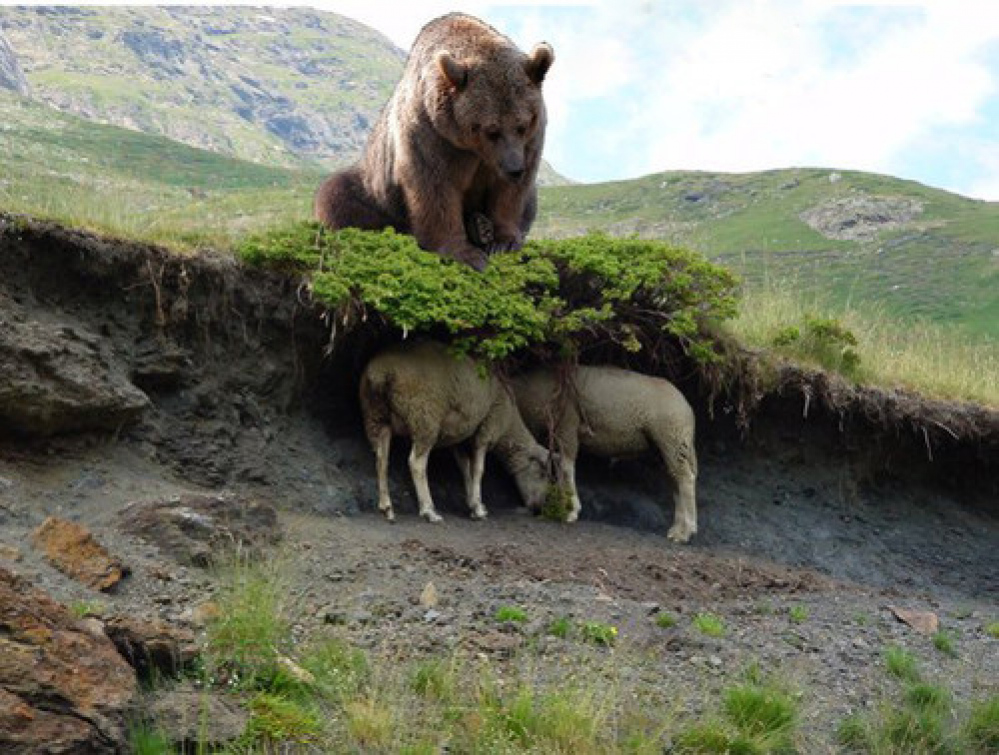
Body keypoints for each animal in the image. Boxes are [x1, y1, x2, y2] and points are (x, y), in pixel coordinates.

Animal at [314, 12, 556, 272]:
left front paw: (504, 241)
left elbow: (512, 193)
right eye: (491, 130)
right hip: (376, 189)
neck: (470, 145)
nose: (514, 168)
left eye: (522, 125)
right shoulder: (431, 133)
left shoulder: (530, 139)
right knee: (337, 195)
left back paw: (480, 227)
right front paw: (466, 254)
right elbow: (434, 187)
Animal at [360, 344, 552, 524]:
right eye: (542, 473)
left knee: (381, 460)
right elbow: (478, 469)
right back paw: (429, 511)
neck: (508, 425)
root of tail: (381, 372)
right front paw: (479, 508)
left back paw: (387, 508)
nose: (539, 508)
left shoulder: (459, 437)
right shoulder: (487, 428)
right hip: (424, 417)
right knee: (416, 463)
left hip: (377, 417)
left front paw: (473, 505)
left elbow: (465, 468)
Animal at [512, 366, 700, 544]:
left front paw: (571, 511)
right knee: (675, 481)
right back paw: (676, 529)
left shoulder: (566, 426)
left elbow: (566, 468)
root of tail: (687, 408)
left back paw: (685, 532)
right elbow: (559, 468)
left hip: (671, 438)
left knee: (685, 479)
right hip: (664, 448)